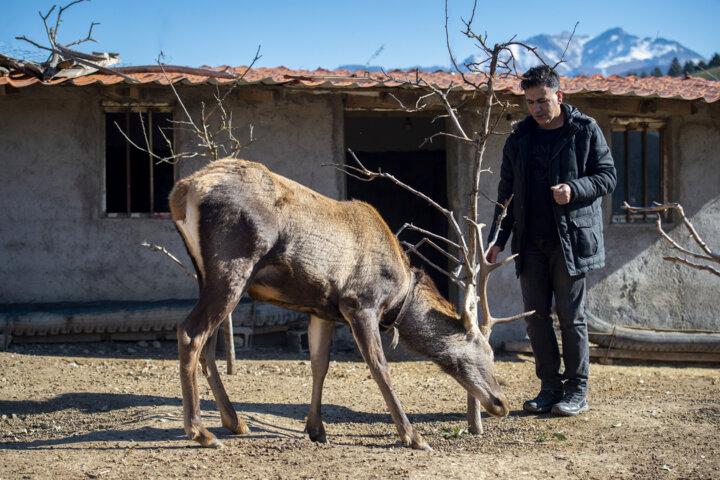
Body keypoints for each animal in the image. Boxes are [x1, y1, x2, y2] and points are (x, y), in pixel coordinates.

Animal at [169, 158, 516, 450]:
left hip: (205, 274)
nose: (502, 403)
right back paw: (200, 432)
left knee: (208, 345)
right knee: (190, 333)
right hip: (233, 265)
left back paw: (235, 422)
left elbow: (319, 364)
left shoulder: (321, 310)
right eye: (487, 351)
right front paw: (413, 436)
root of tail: (182, 192)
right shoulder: (360, 303)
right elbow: (379, 366)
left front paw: (316, 429)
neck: (398, 298)